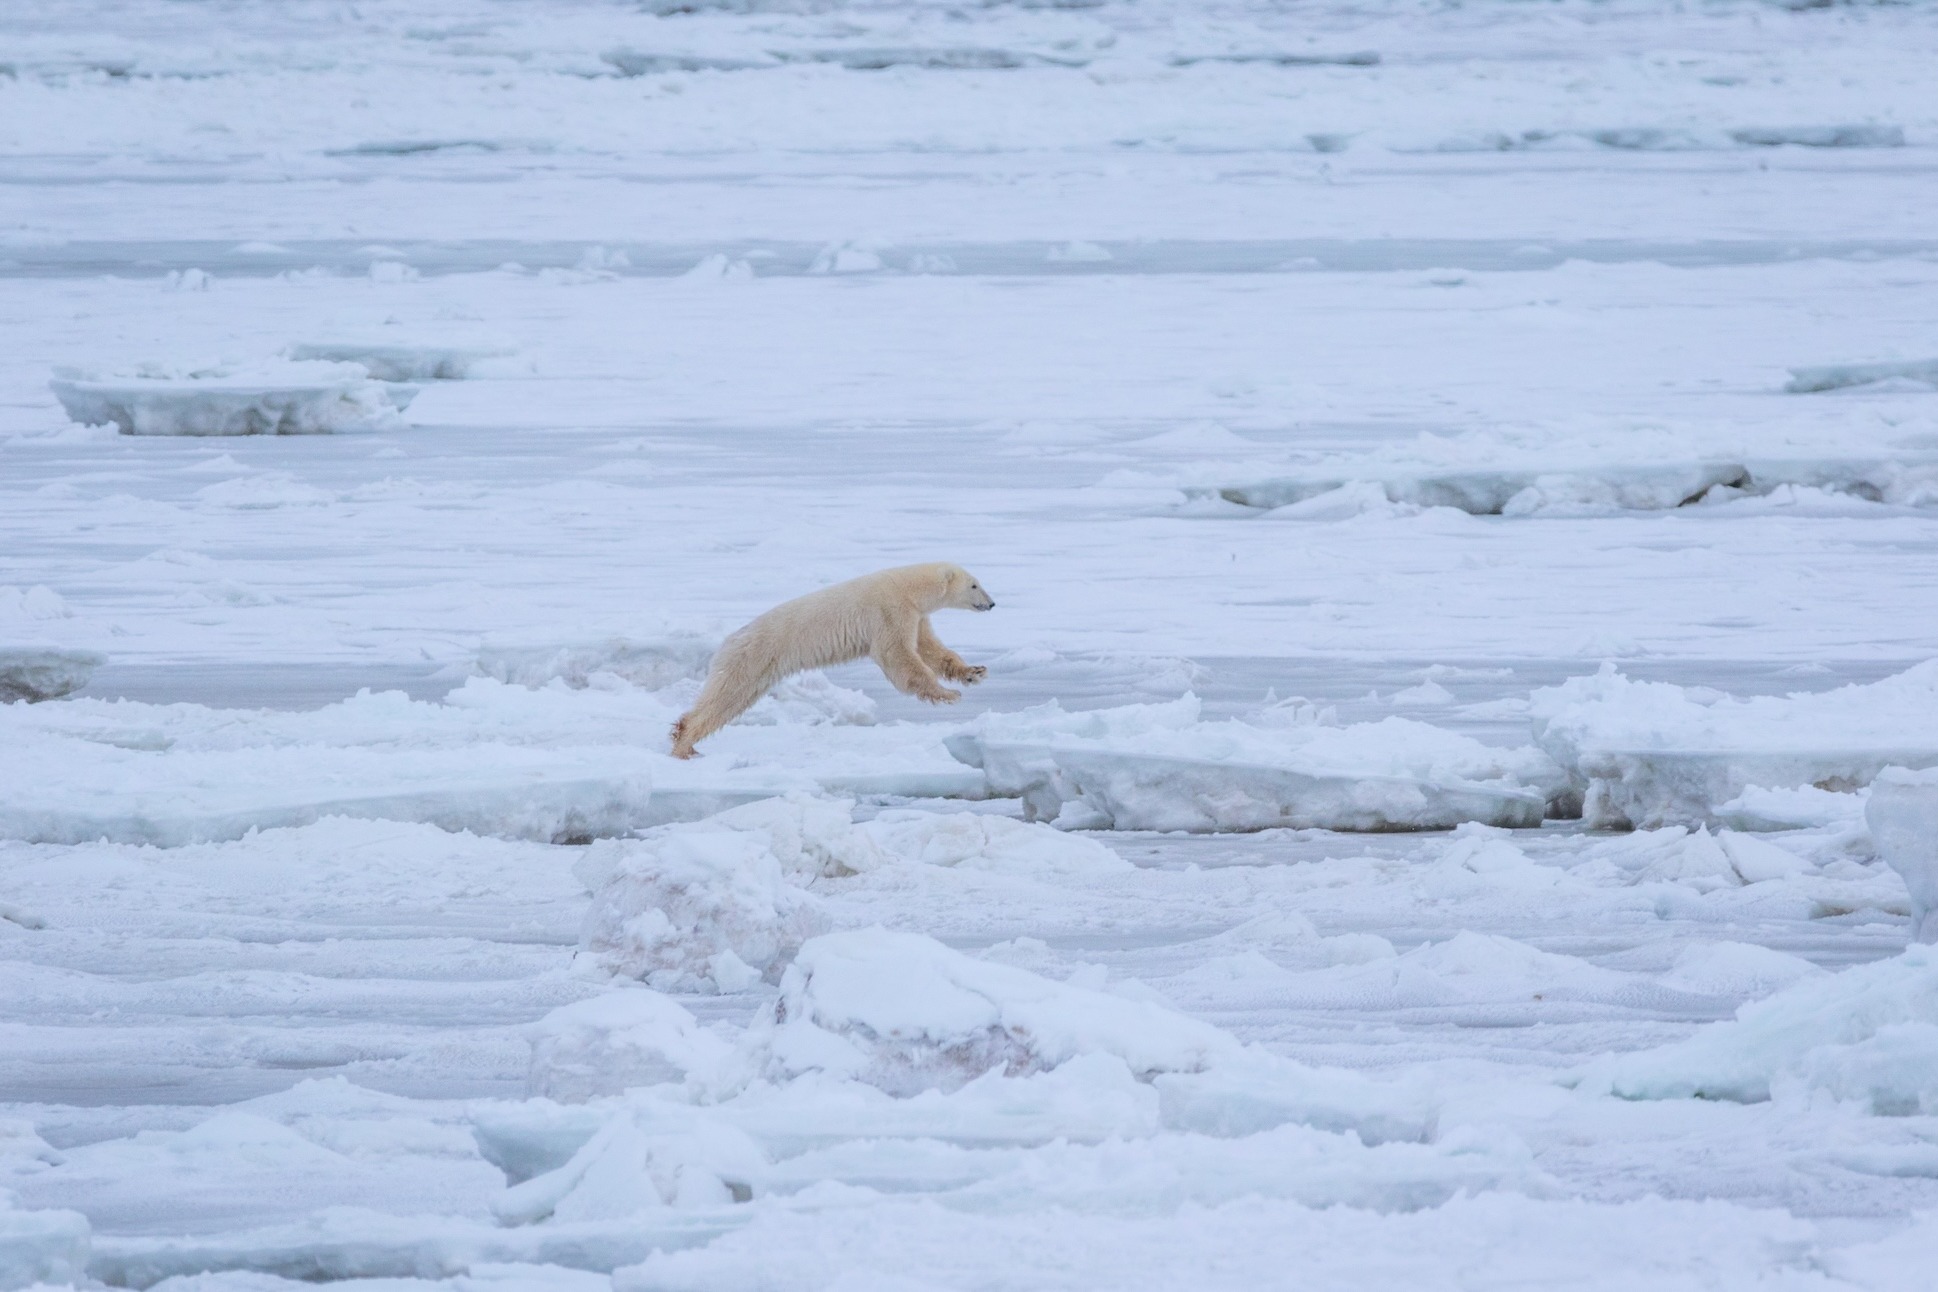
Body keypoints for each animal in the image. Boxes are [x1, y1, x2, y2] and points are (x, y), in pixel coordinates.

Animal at [669, 562, 997, 759]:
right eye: (974, 585)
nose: (992, 603)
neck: (908, 587)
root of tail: (728, 641)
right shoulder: (889, 612)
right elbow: (899, 657)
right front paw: (948, 694)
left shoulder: (916, 616)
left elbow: (930, 648)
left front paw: (974, 672)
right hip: (753, 656)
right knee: (726, 695)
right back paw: (685, 744)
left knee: (732, 700)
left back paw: (687, 740)